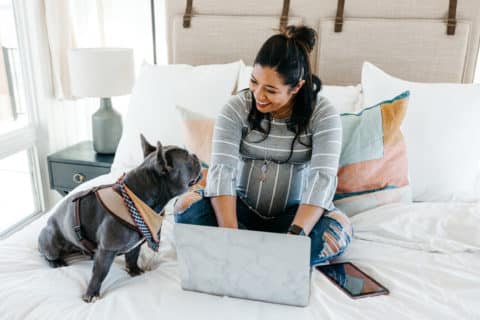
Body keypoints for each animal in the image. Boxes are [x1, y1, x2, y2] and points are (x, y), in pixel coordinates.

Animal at [38, 134, 201, 302]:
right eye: (188, 159)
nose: (196, 156)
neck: (136, 199)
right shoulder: (106, 250)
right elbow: (99, 273)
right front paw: (91, 293)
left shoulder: (134, 244)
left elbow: (132, 256)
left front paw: (134, 270)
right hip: (51, 241)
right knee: (47, 254)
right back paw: (56, 262)